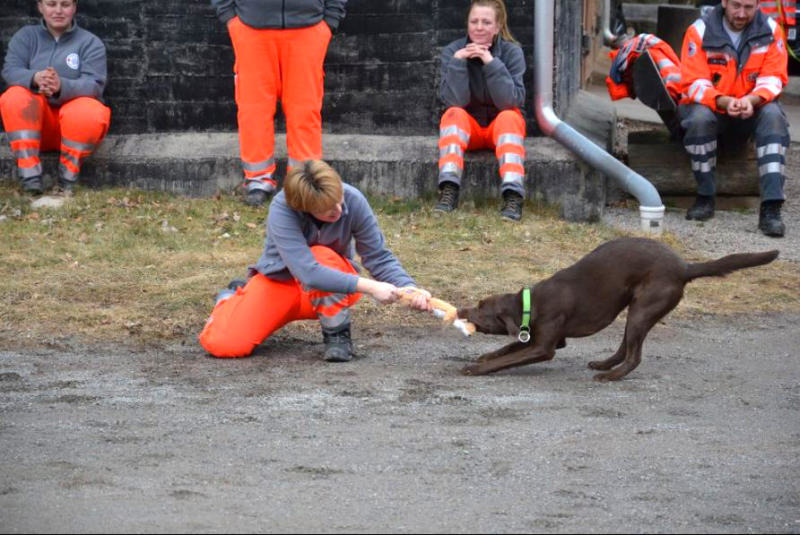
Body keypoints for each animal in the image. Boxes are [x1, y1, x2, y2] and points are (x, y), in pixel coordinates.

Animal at [460, 238, 780, 382]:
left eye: (480, 308)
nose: (461, 310)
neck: (528, 304)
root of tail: (685, 268)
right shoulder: (546, 339)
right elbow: (508, 348)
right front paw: (488, 355)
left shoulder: (545, 347)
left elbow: (509, 357)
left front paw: (476, 367)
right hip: (634, 310)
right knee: (625, 346)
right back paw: (604, 365)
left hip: (643, 309)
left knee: (635, 356)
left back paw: (611, 376)